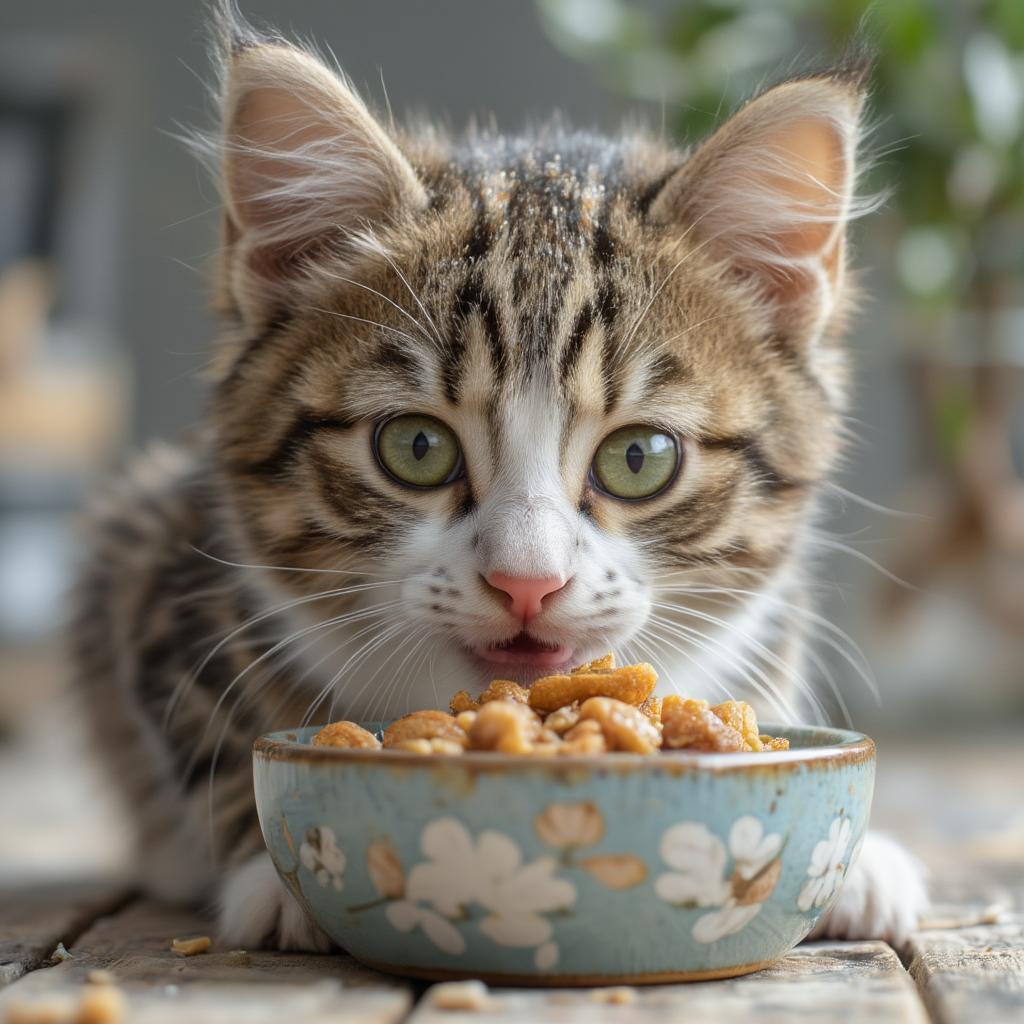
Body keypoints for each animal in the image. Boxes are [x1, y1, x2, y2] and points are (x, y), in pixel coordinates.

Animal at [74, 8, 929, 950]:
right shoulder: (152, 563)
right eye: (415, 448)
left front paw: (861, 865)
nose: (527, 581)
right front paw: (276, 874)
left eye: (639, 458)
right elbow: (210, 739)